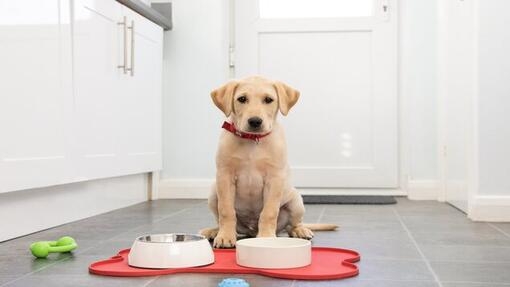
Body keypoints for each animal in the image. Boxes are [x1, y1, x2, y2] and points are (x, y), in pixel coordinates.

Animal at [201, 77, 336, 250]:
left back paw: (300, 230)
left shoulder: (274, 179)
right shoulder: (225, 176)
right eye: (242, 99)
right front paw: (225, 236)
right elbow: (226, 211)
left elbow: (269, 212)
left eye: (268, 100)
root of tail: (251, 231)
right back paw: (214, 231)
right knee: (221, 219)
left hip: (296, 202)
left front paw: (265, 238)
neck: (253, 140)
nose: (255, 121)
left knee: (292, 225)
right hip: (213, 194)